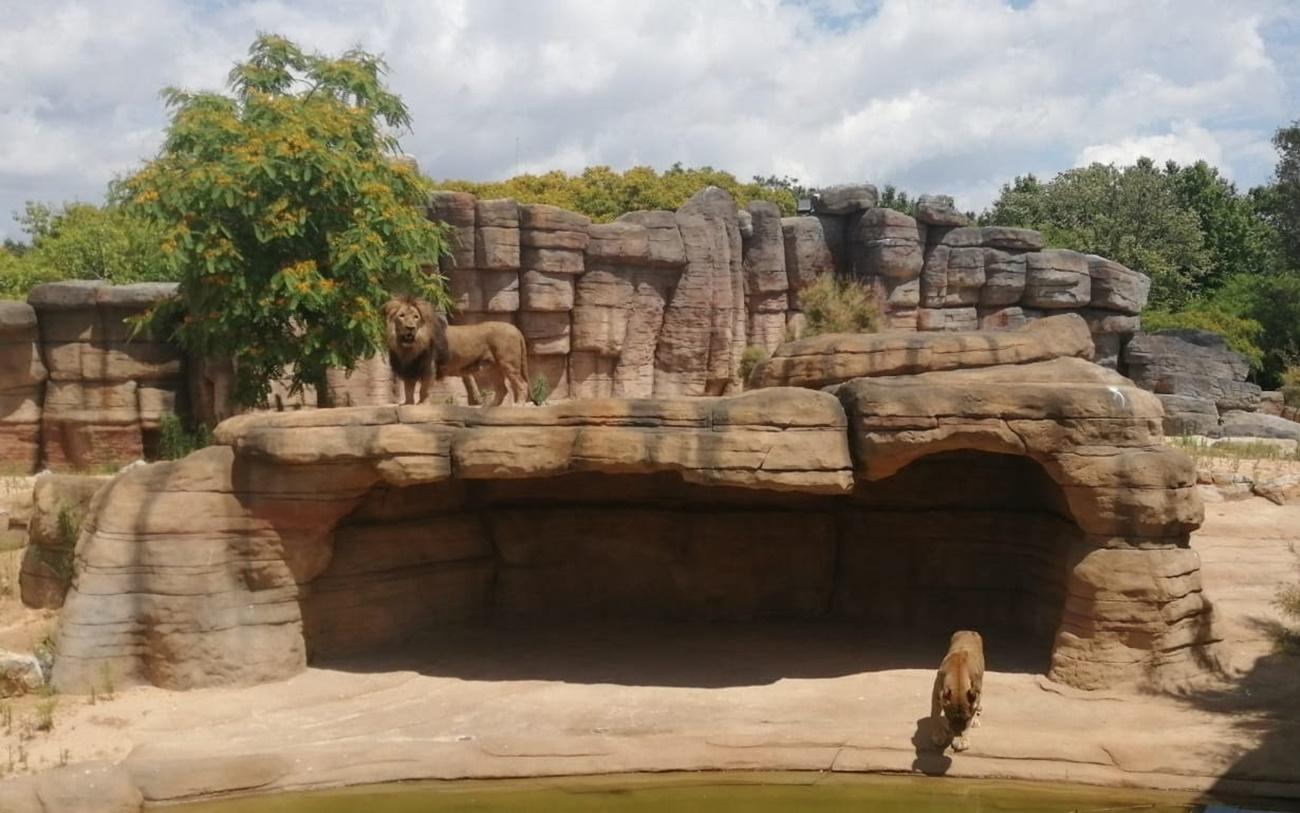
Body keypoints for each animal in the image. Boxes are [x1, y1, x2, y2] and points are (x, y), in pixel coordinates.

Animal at [382, 295, 530, 405]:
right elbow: (408, 389)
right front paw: (408, 404)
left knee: (522, 385)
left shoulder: (429, 368)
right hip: (493, 368)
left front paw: (422, 404)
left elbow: (424, 389)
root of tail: (515, 329)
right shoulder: (409, 368)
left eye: (416, 317)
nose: (410, 328)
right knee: (502, 389)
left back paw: (518, 405)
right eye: (401, 316)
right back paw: (490, 407)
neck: (408, 347)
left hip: (508, 363)